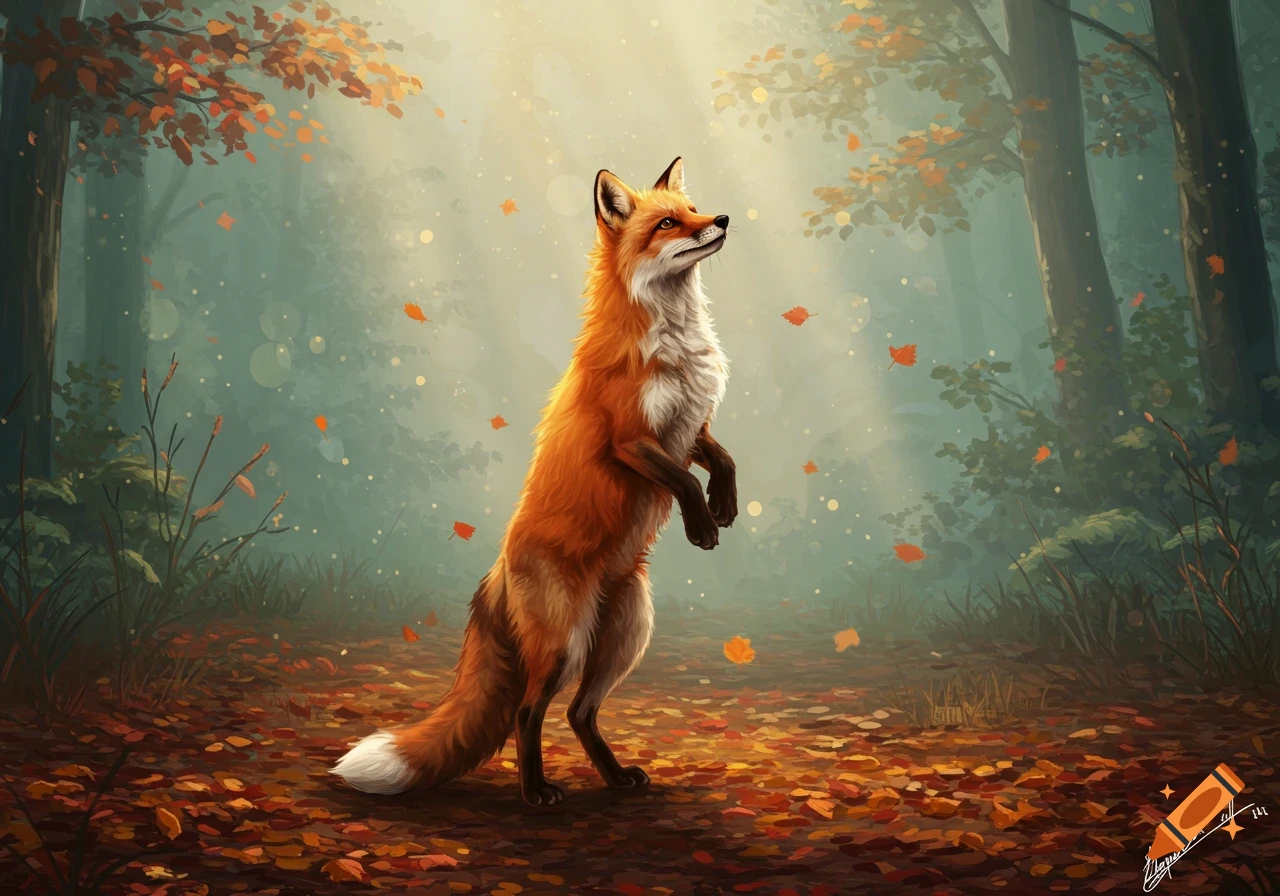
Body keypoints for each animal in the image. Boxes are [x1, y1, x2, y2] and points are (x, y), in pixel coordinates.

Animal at [330, 157, 736, 806]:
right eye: (669, 223)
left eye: (694, 210)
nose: (721, 218)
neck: (669, 338)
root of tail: (496, 573)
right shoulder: (632, 439)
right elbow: (684, 480)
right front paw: (702, 524)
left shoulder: (687, 423)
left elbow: (719, 459)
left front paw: (726, 504)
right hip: (565, 646)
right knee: (528, 712)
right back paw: (535, 794)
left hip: (624, 636)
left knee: (578, 714)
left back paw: (616, 779)